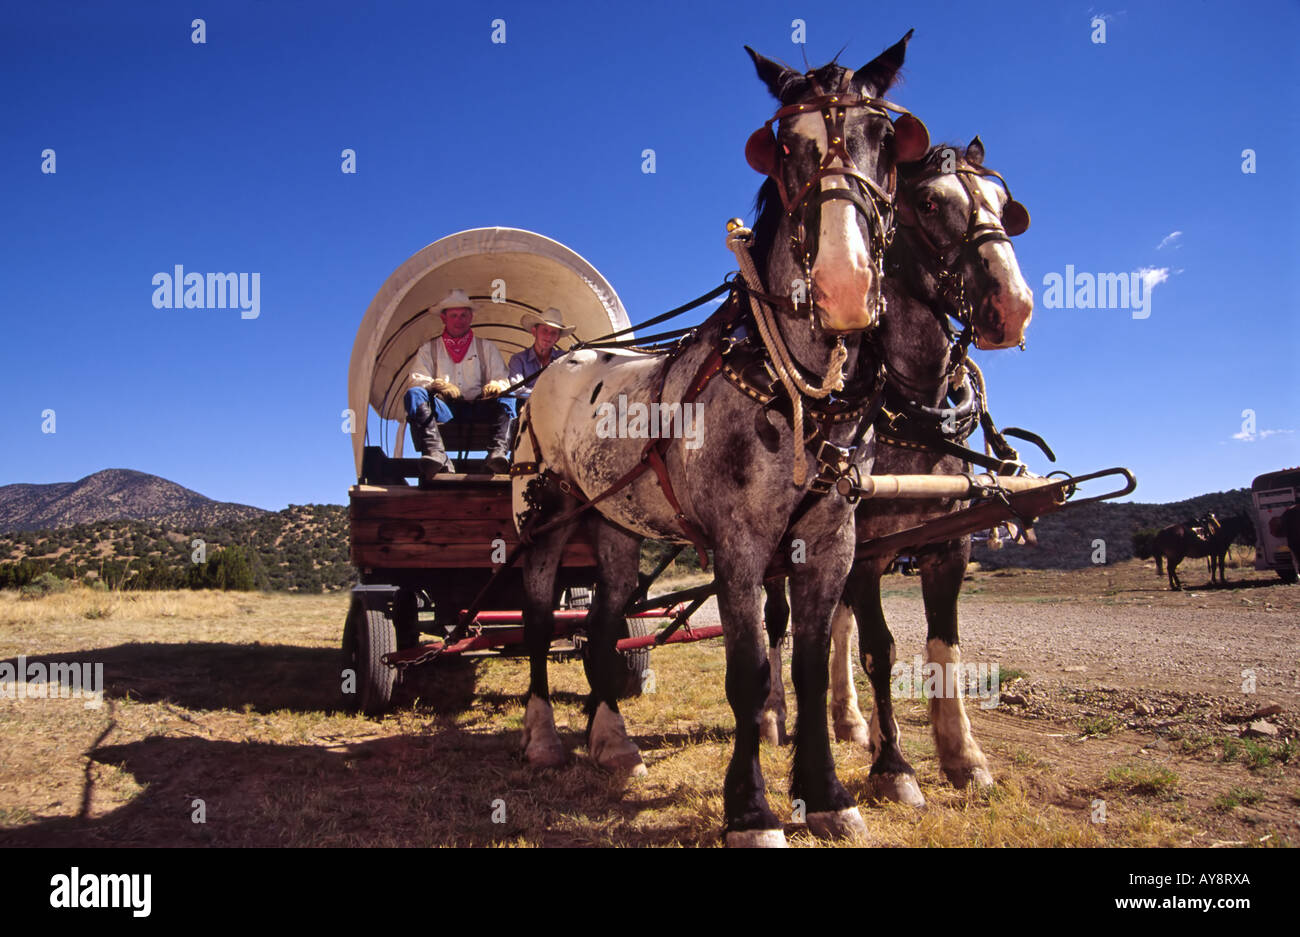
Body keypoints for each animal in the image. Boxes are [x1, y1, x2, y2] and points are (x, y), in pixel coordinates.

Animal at [504, 32, 935, 842]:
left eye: (886, 137)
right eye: (784, 146)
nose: (843, 285)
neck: (791, 387)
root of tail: (558, 361)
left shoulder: (831, 541)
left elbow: (806, 666)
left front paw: (827, 794)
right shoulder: (739, 545)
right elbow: (752, 675)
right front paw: (753, 809)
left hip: (615, 528)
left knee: (604, 624)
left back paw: (613, 741)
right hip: (548, 517)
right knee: (542, 620)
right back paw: (543, 737)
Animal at [759, 137, 1034, 805]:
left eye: (1003, 202)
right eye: (929, 202)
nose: (1011, 306)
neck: (909, 410)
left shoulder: (947, 546)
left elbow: (943, 645)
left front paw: (963, 755)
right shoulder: (864, 551)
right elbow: (879, 650)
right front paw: (895, 767)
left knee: (833, 625)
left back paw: (847, 720)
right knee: (779, 624)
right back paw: (777, 713)